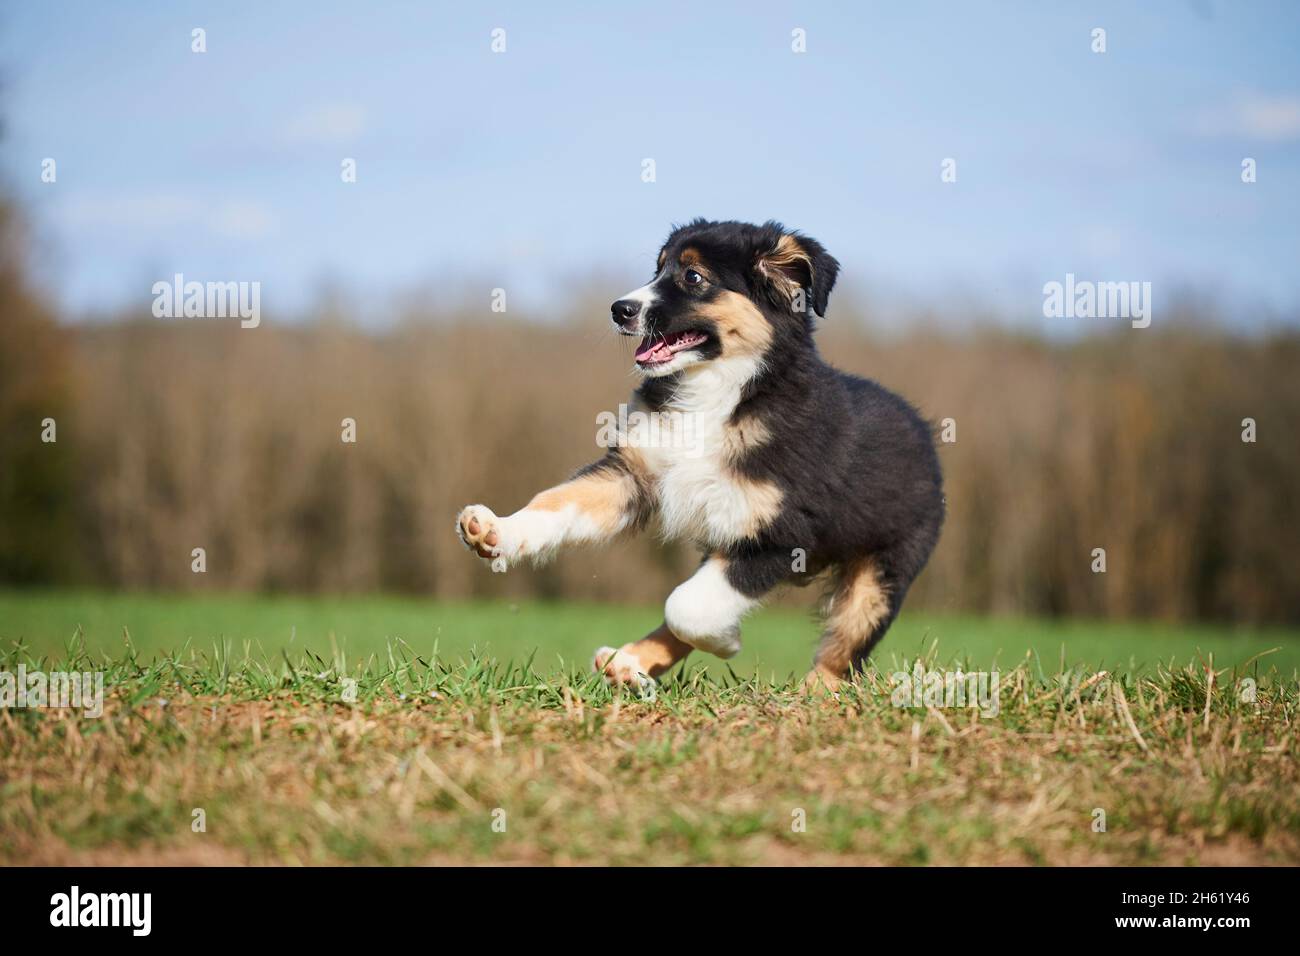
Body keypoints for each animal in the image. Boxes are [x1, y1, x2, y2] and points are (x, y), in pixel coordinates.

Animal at [457, 221, 946, 691]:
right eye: (657, 269)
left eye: (693, 277)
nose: (619, 309)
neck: (716, 388)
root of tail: (923, 429)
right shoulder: (633, 473)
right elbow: (559, 501)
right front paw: (497, 531)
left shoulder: (780, 534)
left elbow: (686, 605)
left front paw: (727, 641)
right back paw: (628, 665)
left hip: (882, 574)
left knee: (842, 652)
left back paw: (813, 696)